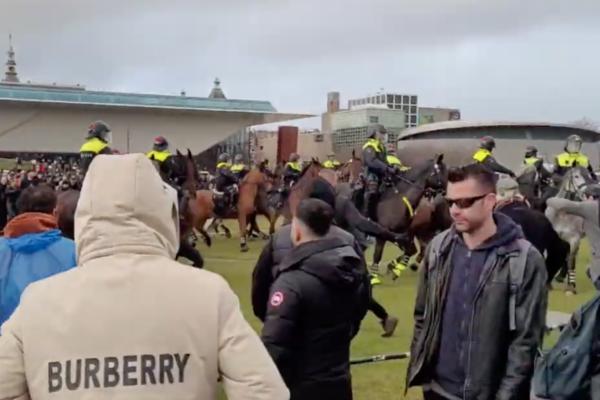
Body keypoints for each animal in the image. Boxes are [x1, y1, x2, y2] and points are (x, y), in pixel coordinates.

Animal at [544, 166, 592, 294]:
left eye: (588, 175)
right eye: (576, 176)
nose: (586, 193)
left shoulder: (574, 240)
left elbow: (571, 261)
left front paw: (571, 287)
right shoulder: (557, 240)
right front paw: (549, 283)